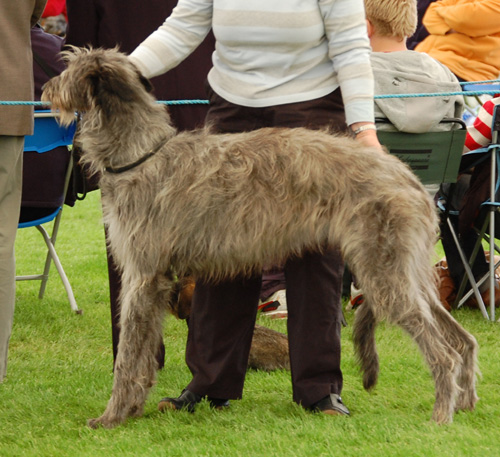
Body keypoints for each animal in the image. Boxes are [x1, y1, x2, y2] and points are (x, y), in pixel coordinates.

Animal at [43, 49, 480, 428]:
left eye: (69, 69)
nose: (46, 87)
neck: (141, 153)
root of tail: (406, 177)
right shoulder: (158, 282)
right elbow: (145, 352)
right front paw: (133, 408)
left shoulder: (143, 276)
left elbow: (129, 354)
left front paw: (111, 416)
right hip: (410, 274)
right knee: (462, 339)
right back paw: (466, 402)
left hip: (384, 275)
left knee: (442, 352)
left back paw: (441, 415)